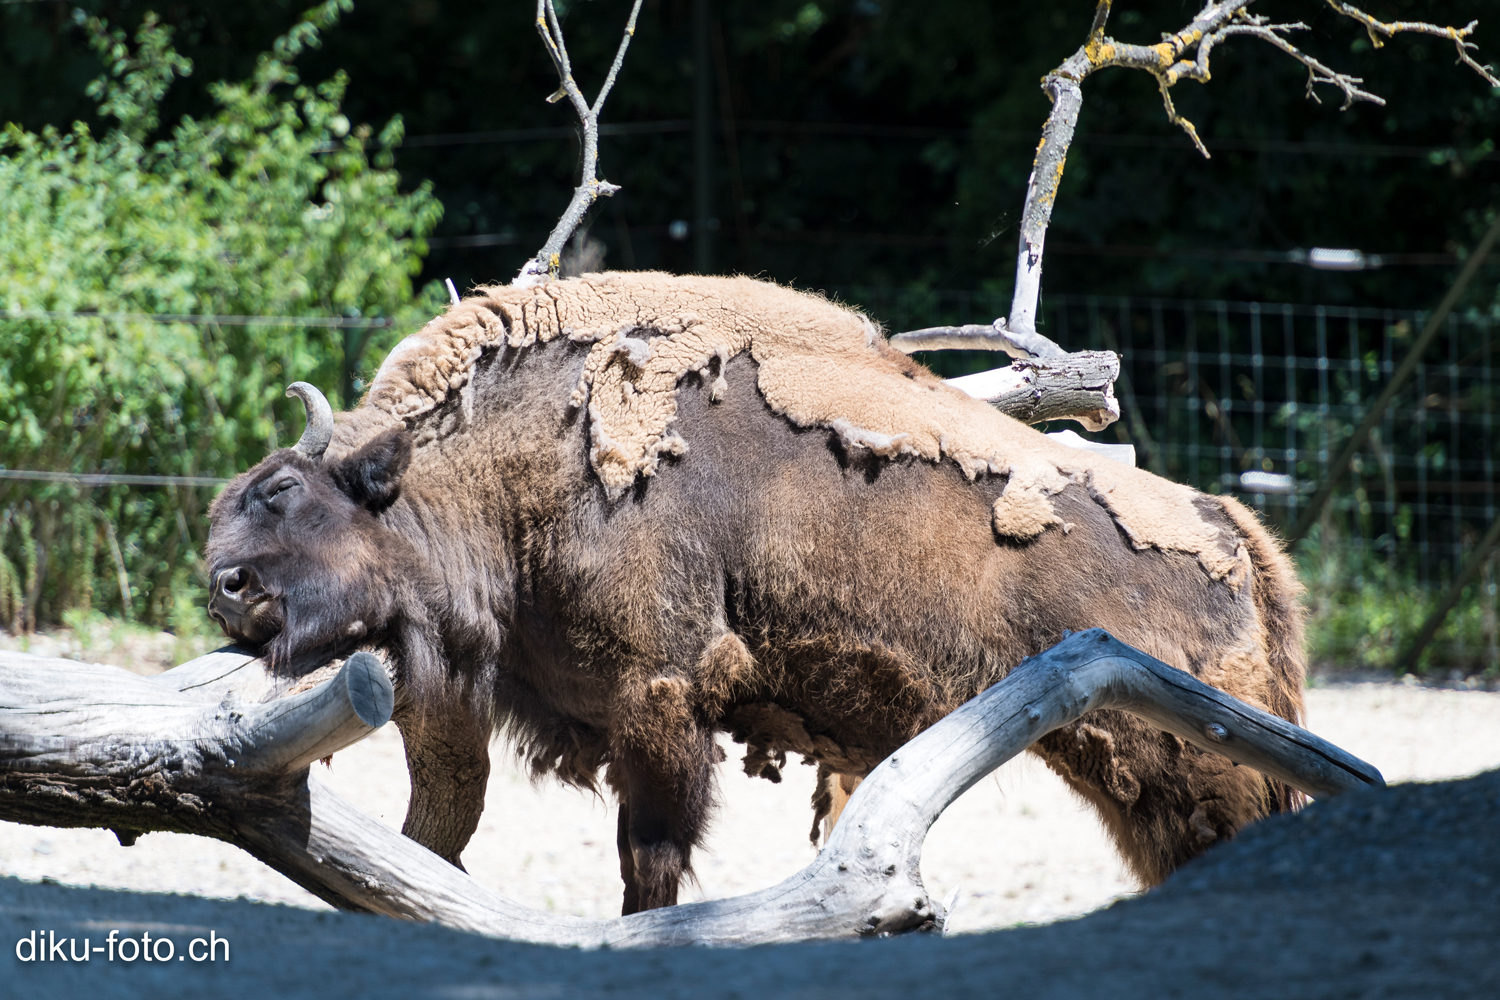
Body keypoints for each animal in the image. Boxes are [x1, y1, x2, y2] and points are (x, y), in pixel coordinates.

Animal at [205, 271, 1308, 917]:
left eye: (283, 491)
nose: (224, 586)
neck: (512, 462)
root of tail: (1234, 531)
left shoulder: (659, 704)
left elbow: (648, 862)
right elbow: (433, 838)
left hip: (1192, 768)